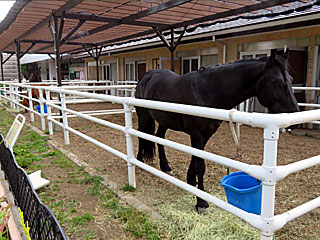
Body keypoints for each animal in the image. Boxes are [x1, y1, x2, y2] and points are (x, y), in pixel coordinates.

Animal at [135, 50, 300, 212]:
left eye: (291, 79)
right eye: (275, 82)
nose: (296, 117)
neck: (207, 91)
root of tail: (146, 76)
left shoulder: (206, 134)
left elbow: (195, 159)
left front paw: (191, 181)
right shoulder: (197, 134)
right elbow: (201, 166)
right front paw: (201, 202)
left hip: (164, 120)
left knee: (159, 137)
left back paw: (166, 167)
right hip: (144, 115)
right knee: (140, 135)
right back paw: (139, 160)